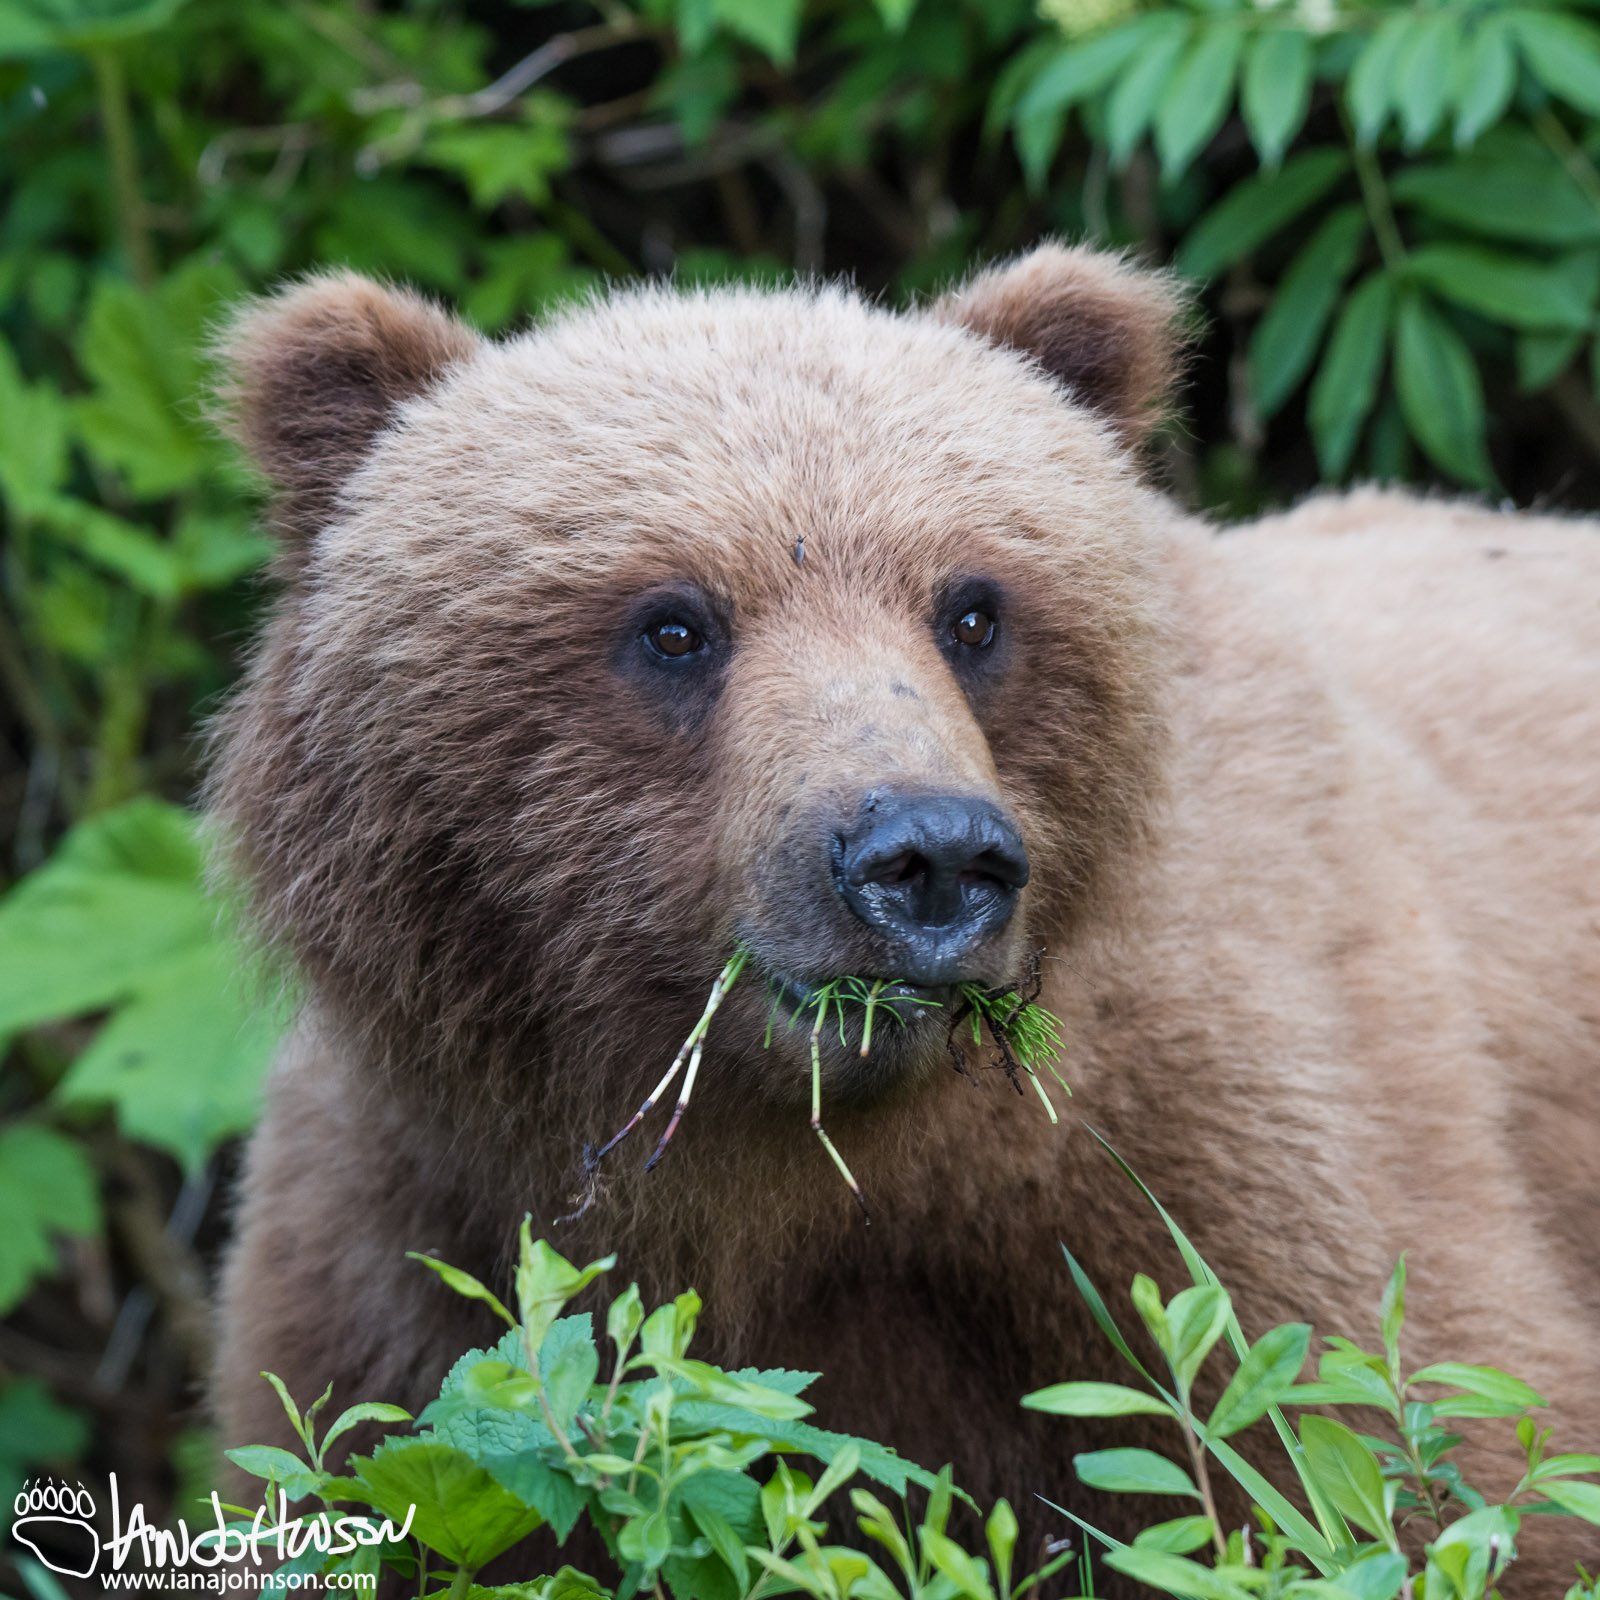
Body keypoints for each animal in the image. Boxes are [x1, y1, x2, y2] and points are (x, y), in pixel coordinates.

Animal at [206, 244, 1600, 1591]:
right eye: (674, 622)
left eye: (974, 608)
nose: (928, 856)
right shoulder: (414, 1230)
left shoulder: (1205, 1166)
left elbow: (1420, 1454)